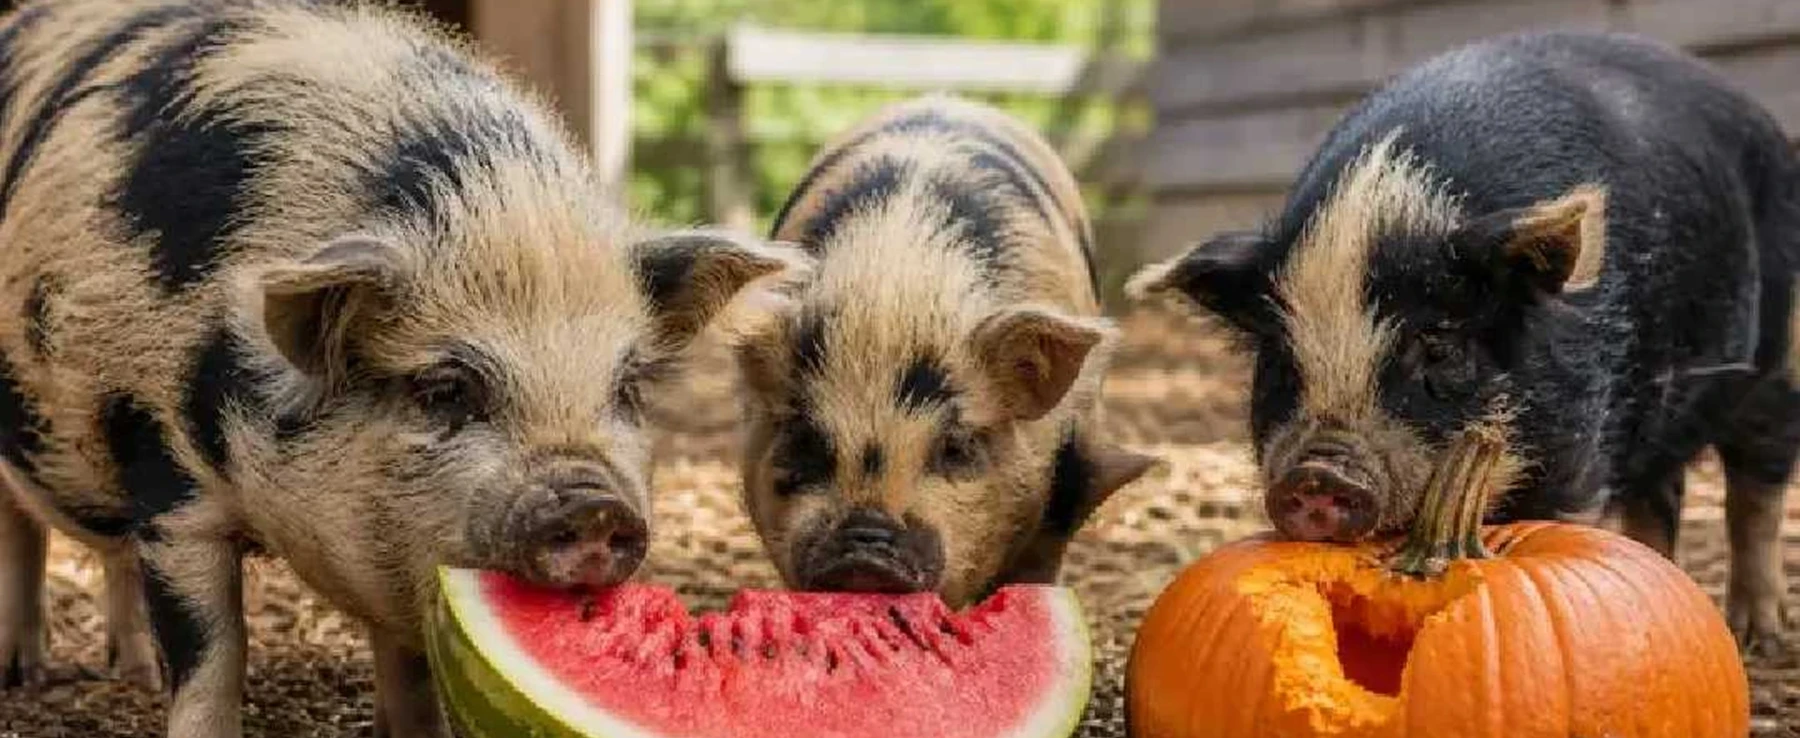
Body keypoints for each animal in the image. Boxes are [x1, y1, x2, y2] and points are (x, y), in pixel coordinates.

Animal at [0, 1, 804, 736]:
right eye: (445, 389)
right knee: (28, 531)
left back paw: (129, 673)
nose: (591, 502)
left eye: (627, 387)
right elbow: (213, 652)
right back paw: (28, 675)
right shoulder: (167, 478)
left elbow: (409, 662)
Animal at [1130, 31, 1798, 653]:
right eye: (1280, 360)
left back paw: (1757, 636)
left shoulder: (1578, 447)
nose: (1318, 471)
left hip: (1776, 366)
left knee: (1757, 490)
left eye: (1440, 346)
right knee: (1663, 491)